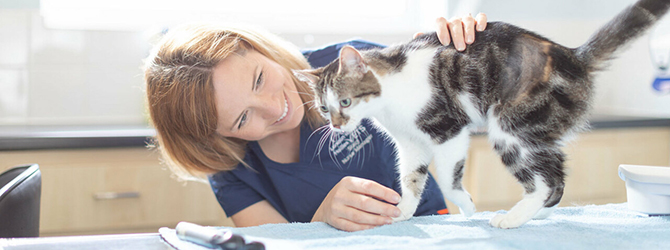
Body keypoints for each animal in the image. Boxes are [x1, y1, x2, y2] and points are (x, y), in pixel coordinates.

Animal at [294, 0, 670, 229]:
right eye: (324, 108)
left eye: (345, 102)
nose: (337, 126)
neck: (390, 95)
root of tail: (572, 57)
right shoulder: (411, 144)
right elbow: (411, 179)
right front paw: (402, 211)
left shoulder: (449, 129)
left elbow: (448, 177)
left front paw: (467, 205)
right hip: (534, 131)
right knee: (558, 171)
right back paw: (536, 212)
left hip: (510, 125)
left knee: (547, 180)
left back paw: (513, 218)